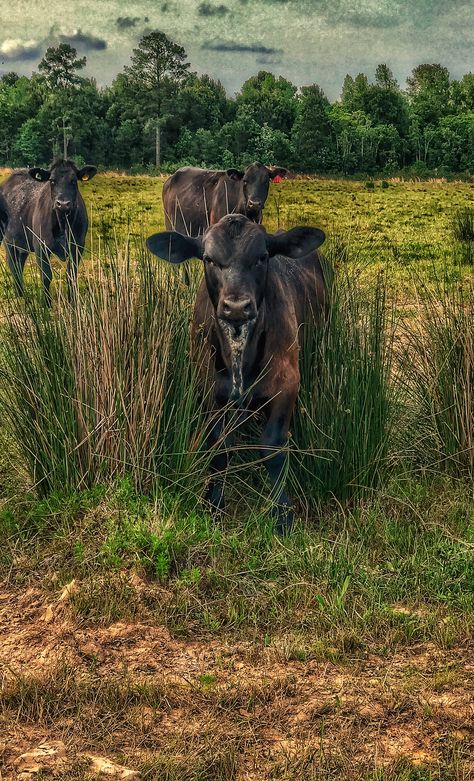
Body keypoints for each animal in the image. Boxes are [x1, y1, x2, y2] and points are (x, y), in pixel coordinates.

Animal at [0, 160, 97, 304]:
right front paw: (46, 304)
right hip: (8, 241)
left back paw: (21, 294)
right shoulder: (41, 246)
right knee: (13, 266)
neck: (63, 224)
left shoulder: (78, 246)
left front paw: (72, 302)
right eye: (52, 180)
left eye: (74, 180)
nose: (63, 203)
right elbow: (46, 276)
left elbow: (71, 275)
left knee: (19, 265)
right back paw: (19, 296)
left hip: (22, 244)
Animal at [147, 210, 326, 532]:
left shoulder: (287, 384)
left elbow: (273, 449)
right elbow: (219, 448)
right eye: (209, 258)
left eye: (262, 257)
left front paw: (282, 513)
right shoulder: (208, 390)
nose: (237, 307)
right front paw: (213, 502)